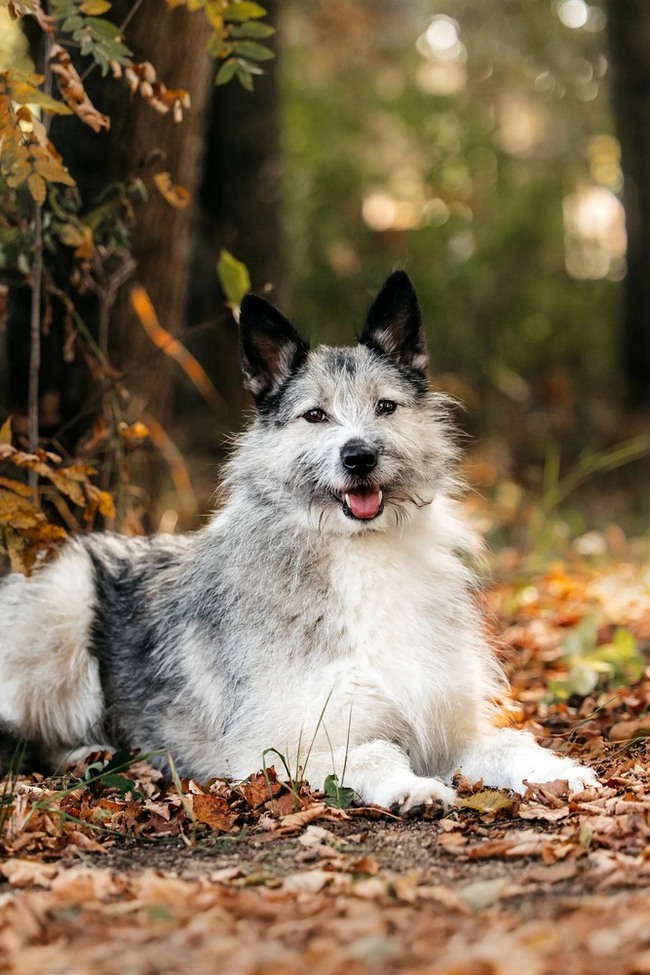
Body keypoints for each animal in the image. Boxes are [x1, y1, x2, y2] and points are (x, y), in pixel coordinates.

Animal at [0, 272, 596, 808]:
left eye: (385, 407)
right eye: (315, 415)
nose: (359, 456)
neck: (361, 551)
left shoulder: (451, 727)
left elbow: (510, 745)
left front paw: (558, 773)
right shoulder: (273, 748)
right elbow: (375, 751)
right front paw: (410, 787)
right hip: (62, 600)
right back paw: (87, 755)